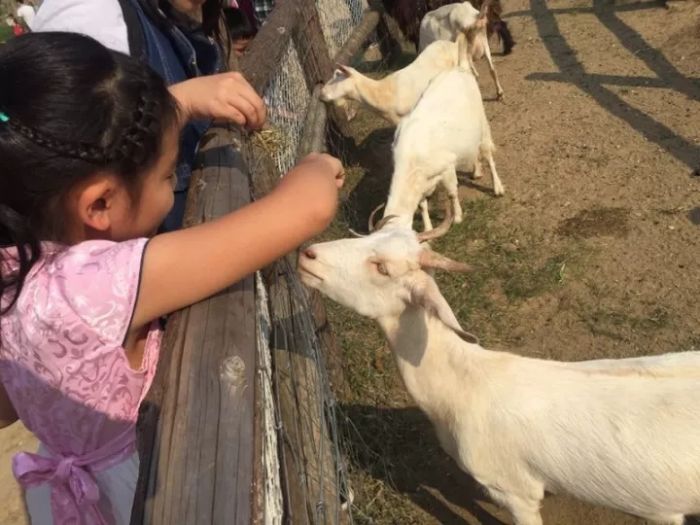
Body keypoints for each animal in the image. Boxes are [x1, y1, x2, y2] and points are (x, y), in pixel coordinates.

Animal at [382, 35, 504, 231]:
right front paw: (428, 228)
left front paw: (458, 217)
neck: (410, 156)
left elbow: (452, 193)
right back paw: (476, 170)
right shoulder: (423, 182)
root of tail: (461, 67)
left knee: (488, 154)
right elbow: (422, 205)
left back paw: (497, 187)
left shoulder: (447, 168)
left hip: (482, 126)